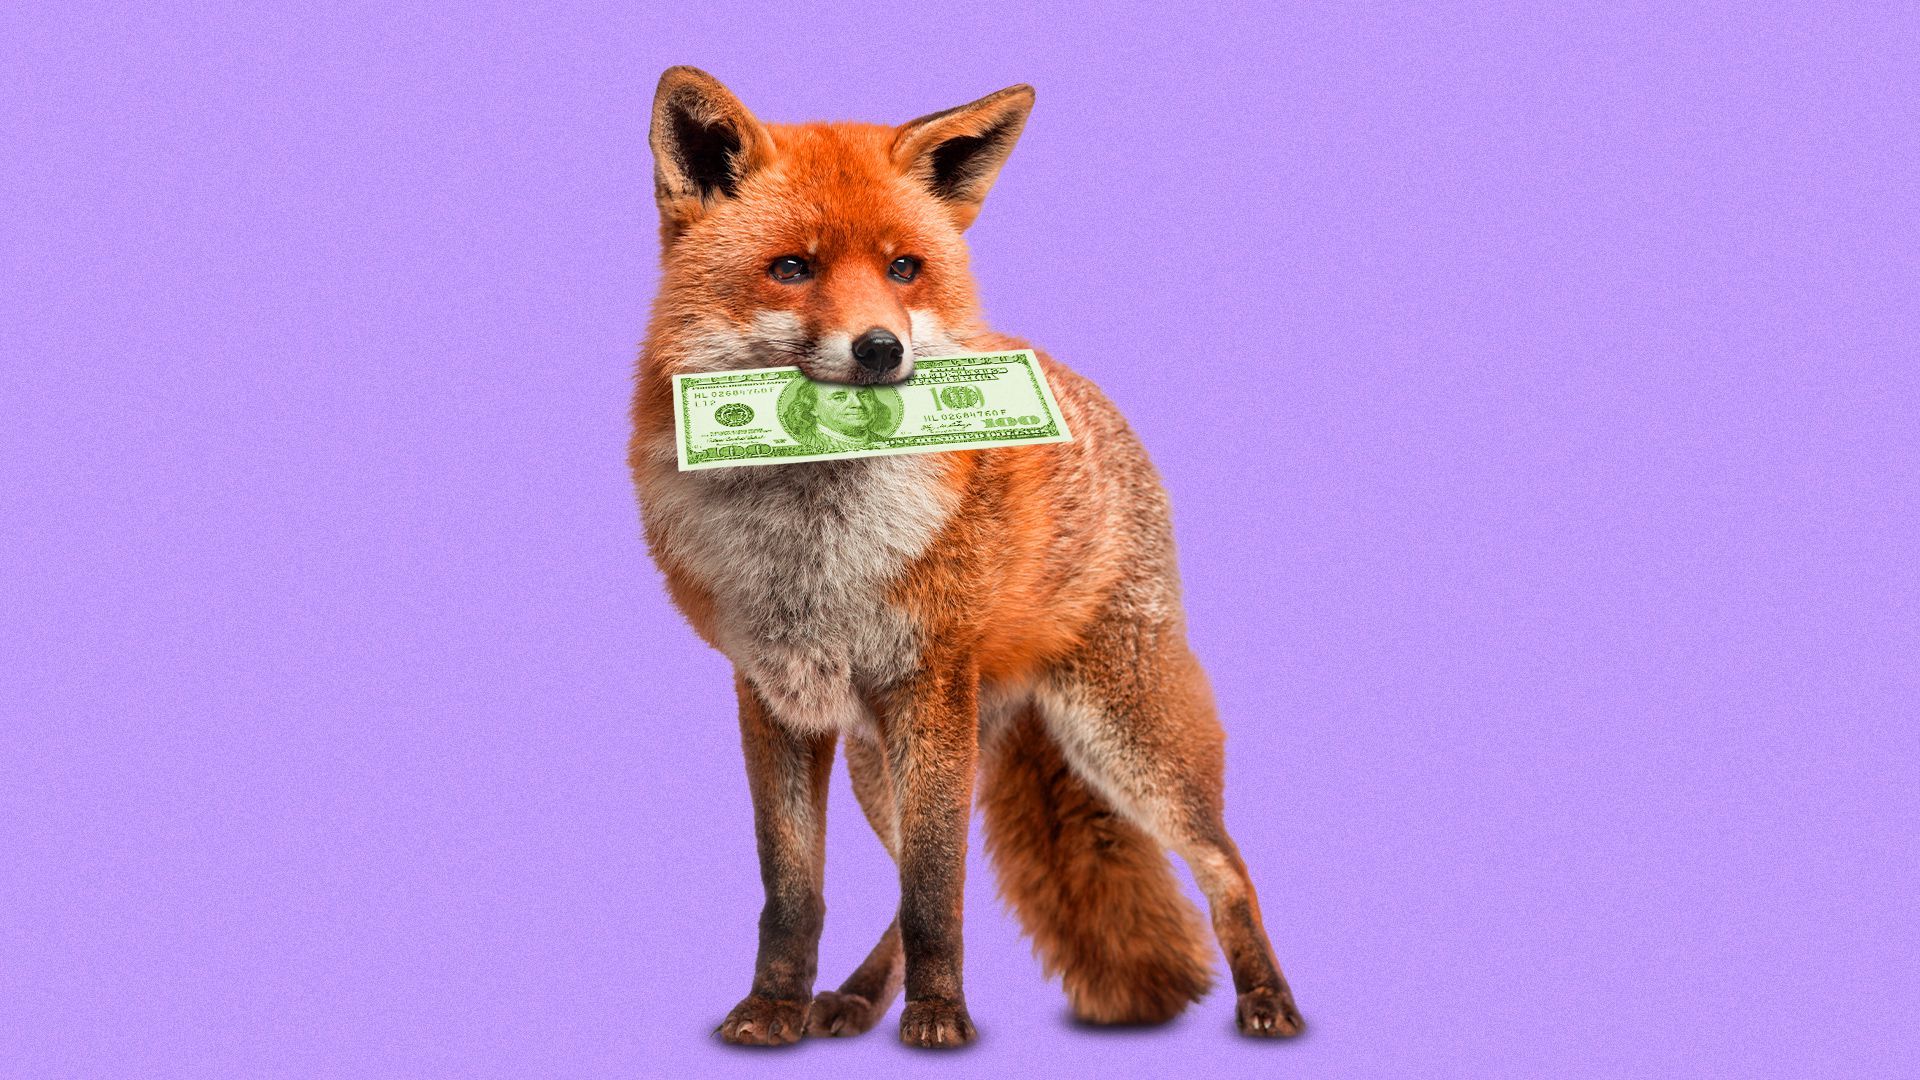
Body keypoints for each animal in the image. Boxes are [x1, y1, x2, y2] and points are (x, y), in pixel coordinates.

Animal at [628, 66, 1305, 1049]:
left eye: (903, 268)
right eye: (793, 268)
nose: (882, 350)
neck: (814, 548)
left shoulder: (929, 684)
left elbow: (935, 889)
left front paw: (941, 1016)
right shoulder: (775, 697)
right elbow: (795, 891)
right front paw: (774, 1008)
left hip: (1122, 741)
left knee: (1228, 866)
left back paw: (1268, 997)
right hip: (885, 762)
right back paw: (853, 998)